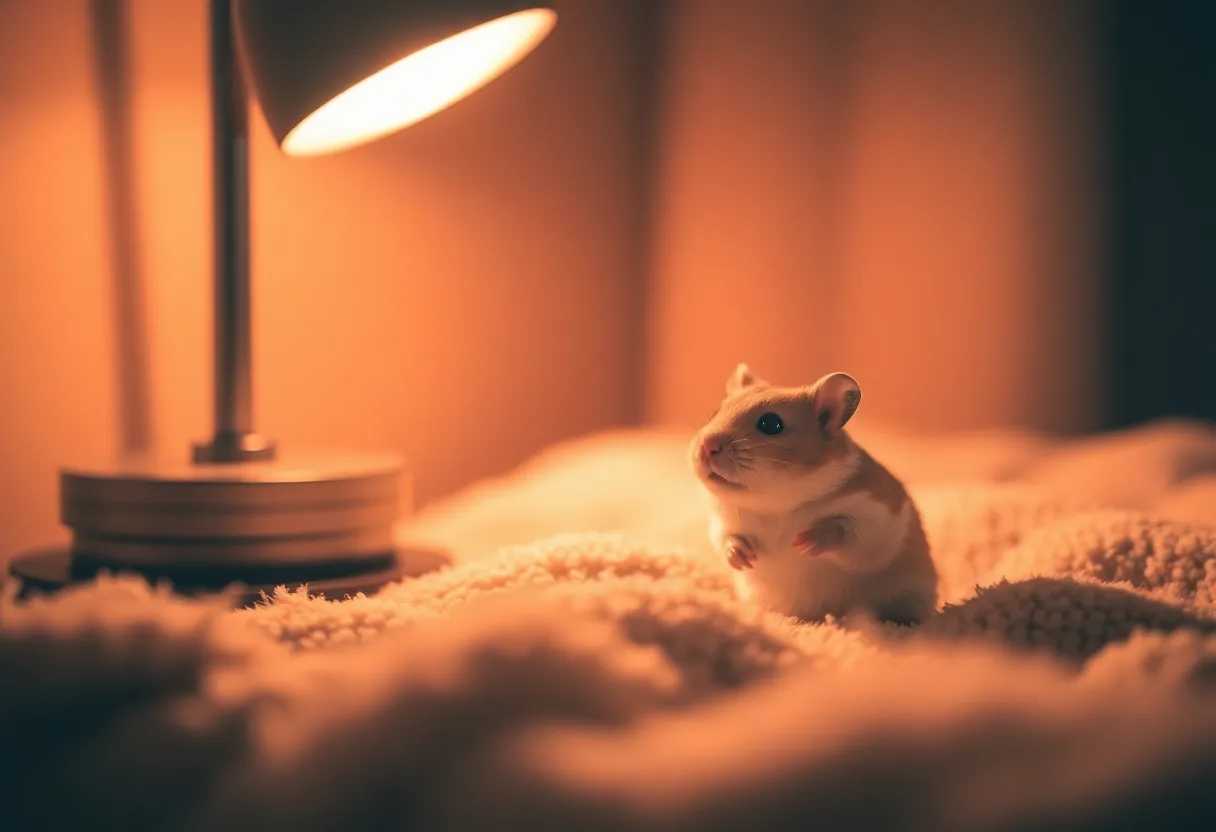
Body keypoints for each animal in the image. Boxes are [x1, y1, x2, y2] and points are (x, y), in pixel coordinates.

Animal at [689, 363, 938, 625]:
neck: (777, 504)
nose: (706, 447)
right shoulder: (722, 523)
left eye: (771, 424)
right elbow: (725, 538)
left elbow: (845, 531)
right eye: (714, 413)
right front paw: (743, 557)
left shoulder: (873, 514)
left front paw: (804, 541)